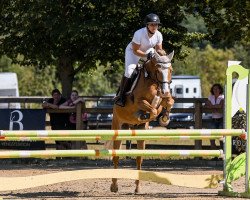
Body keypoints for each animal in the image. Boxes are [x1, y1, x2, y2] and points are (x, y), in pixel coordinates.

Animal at [110, 49, 175, 193]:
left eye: (171, 70)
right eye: (158, 70)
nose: (165, 91)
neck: (152, 80)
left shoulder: (163, 100)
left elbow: (168, 102)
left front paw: (165, 118)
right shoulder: (140, 102)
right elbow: (152, 109)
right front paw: (144, 115)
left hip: (139, 131)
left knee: (139, 159)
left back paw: (137, 188)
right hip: (118, 127)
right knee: (116, 156)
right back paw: (114, 186)